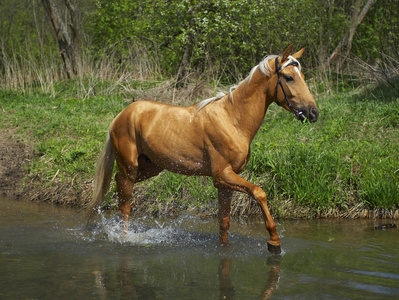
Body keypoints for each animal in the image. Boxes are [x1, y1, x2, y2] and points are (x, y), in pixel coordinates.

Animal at [87, 44, 318, 254]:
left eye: (302, 75)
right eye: (289, 77)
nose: (313, 113)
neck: (232, 119)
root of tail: (120, 115)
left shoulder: (225, 183)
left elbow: (224, 223)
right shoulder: (222, 175)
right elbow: (259, 192)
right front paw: (274, 241)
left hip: (150, 167)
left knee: (118, 182)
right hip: (130, 167)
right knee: (125, 201)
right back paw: (123, 236)